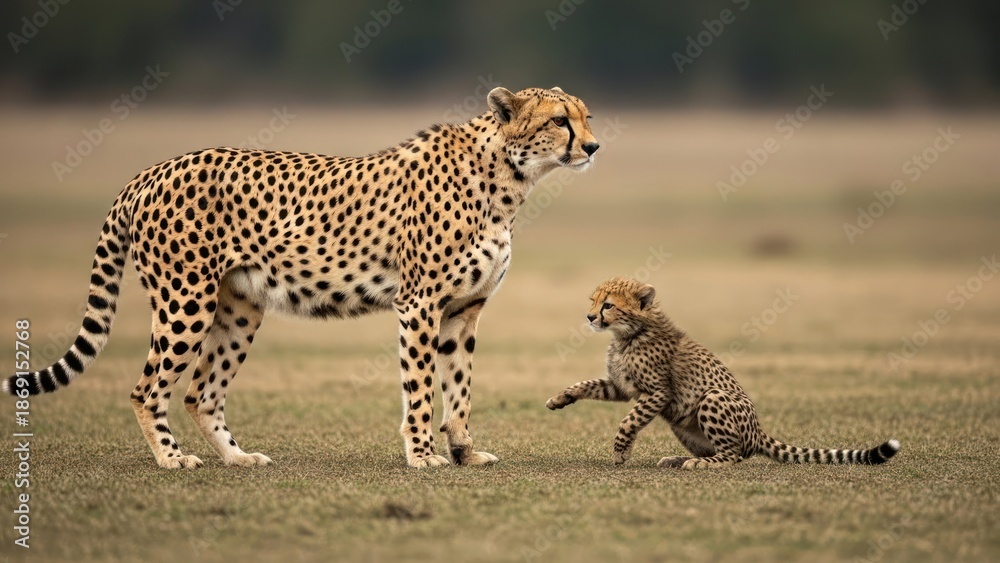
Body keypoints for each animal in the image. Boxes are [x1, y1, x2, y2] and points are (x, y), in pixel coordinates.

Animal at [3, 86, 600, 469]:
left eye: (586, 117)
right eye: (558, 121)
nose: (594, 146)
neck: (506, 179)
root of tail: (154, 169)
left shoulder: (462, 310)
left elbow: (460, 389)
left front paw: (464, 452)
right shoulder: (419, 304)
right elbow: (421, 388)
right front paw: (422, 455)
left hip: (238, 307)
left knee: (201, 391)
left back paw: (238, 457)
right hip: (184, 301)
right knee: (147, 388)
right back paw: (173, 459)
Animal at [546, 276, 900, 470]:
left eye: (608, 305)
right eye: (593, 301)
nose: (590, 317)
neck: (629, 334)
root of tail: (759, 431)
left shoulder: (657, 393)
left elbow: (628, 421)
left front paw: (620, 452)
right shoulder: (622, 387)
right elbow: (588, 384)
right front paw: (560, 398)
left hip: (713, 398)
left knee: (733, 455)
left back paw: (699, 463)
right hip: (682, 424)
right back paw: (676, 459)